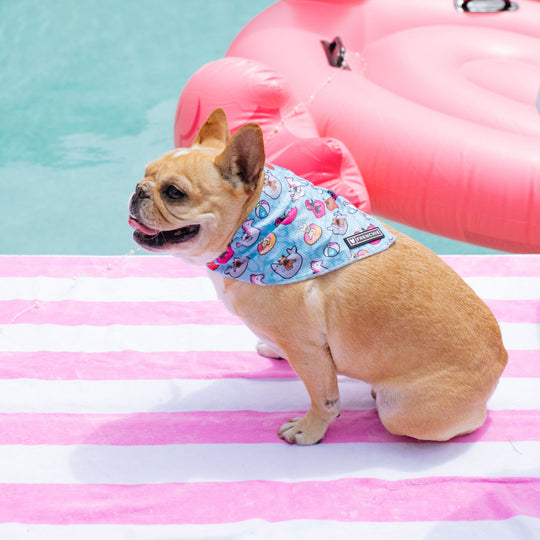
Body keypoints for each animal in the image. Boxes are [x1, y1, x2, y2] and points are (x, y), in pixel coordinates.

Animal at [129, 107, 508, 446]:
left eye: (174, 192)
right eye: (145, 174)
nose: (139, 190)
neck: (257, 225)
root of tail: (501, 361)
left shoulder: (308, 352)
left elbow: (324, 399)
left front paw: (309, 431)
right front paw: (272, 349)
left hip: (401, 412)